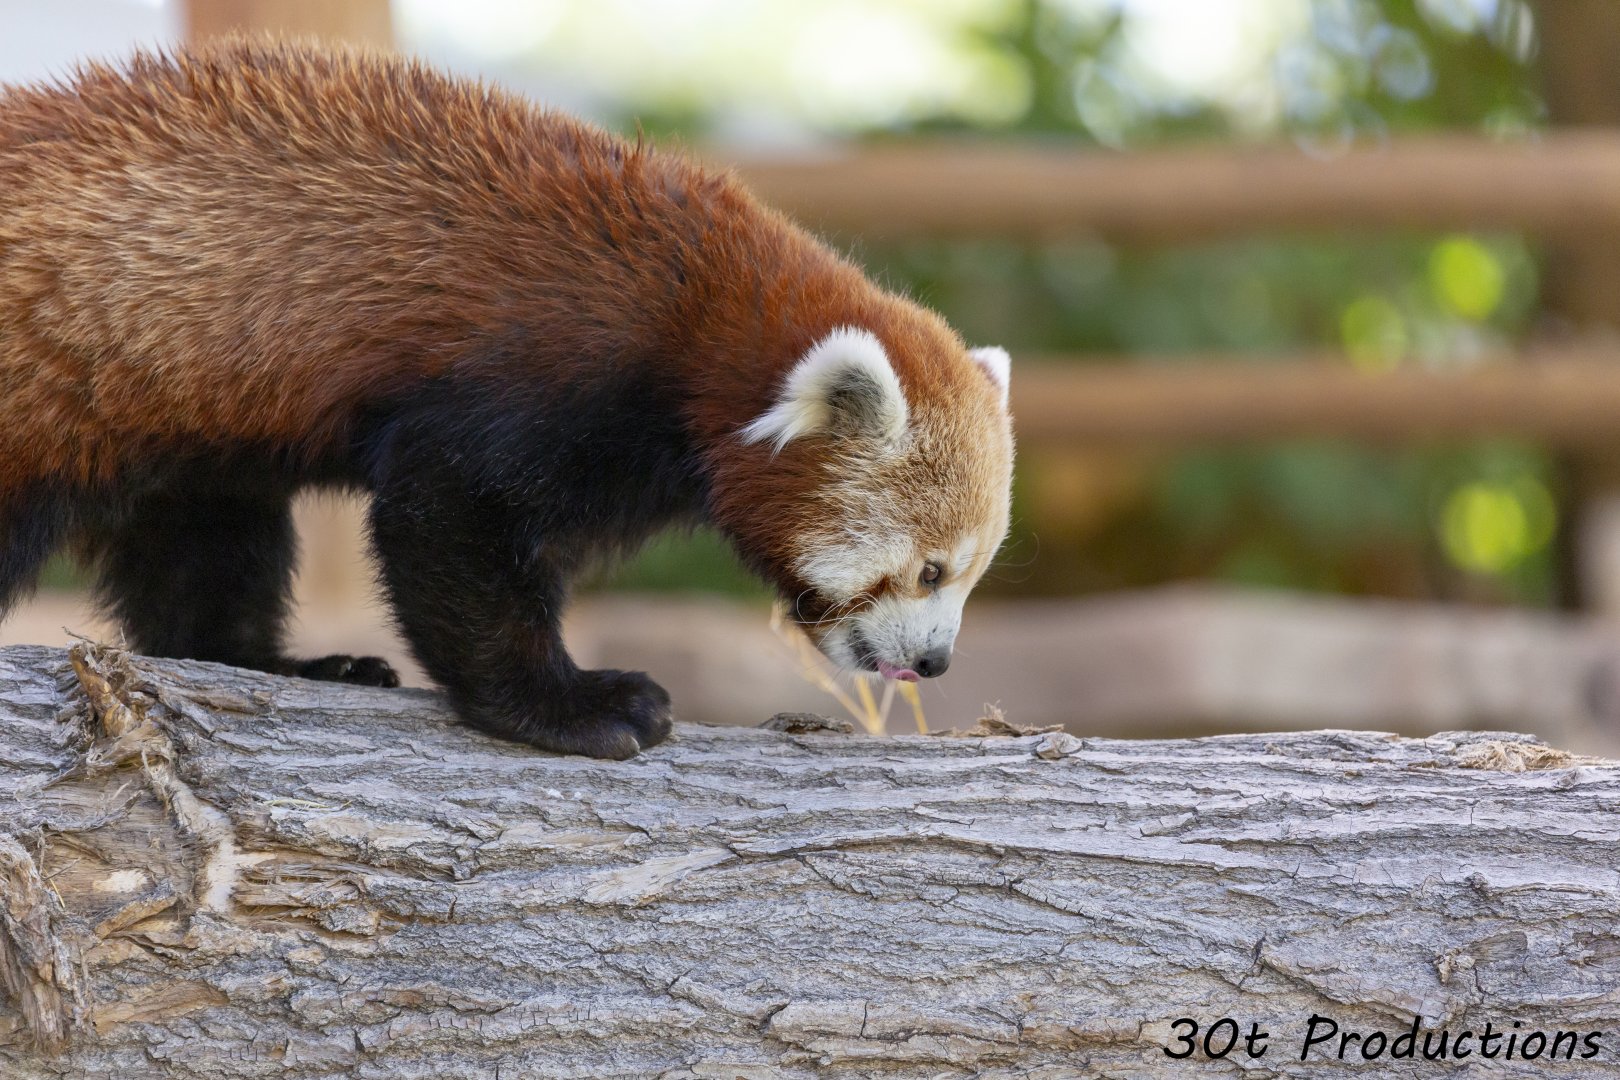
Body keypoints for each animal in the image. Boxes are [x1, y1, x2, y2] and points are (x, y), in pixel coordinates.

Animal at [0, 39, 1015, 759]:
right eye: (930, 570)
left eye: (969, 574)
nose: (935, 661)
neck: (697, 319)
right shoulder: (529, 375)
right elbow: (448, 530)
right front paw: (572, 704)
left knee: (203, 548)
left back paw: (282, 663)